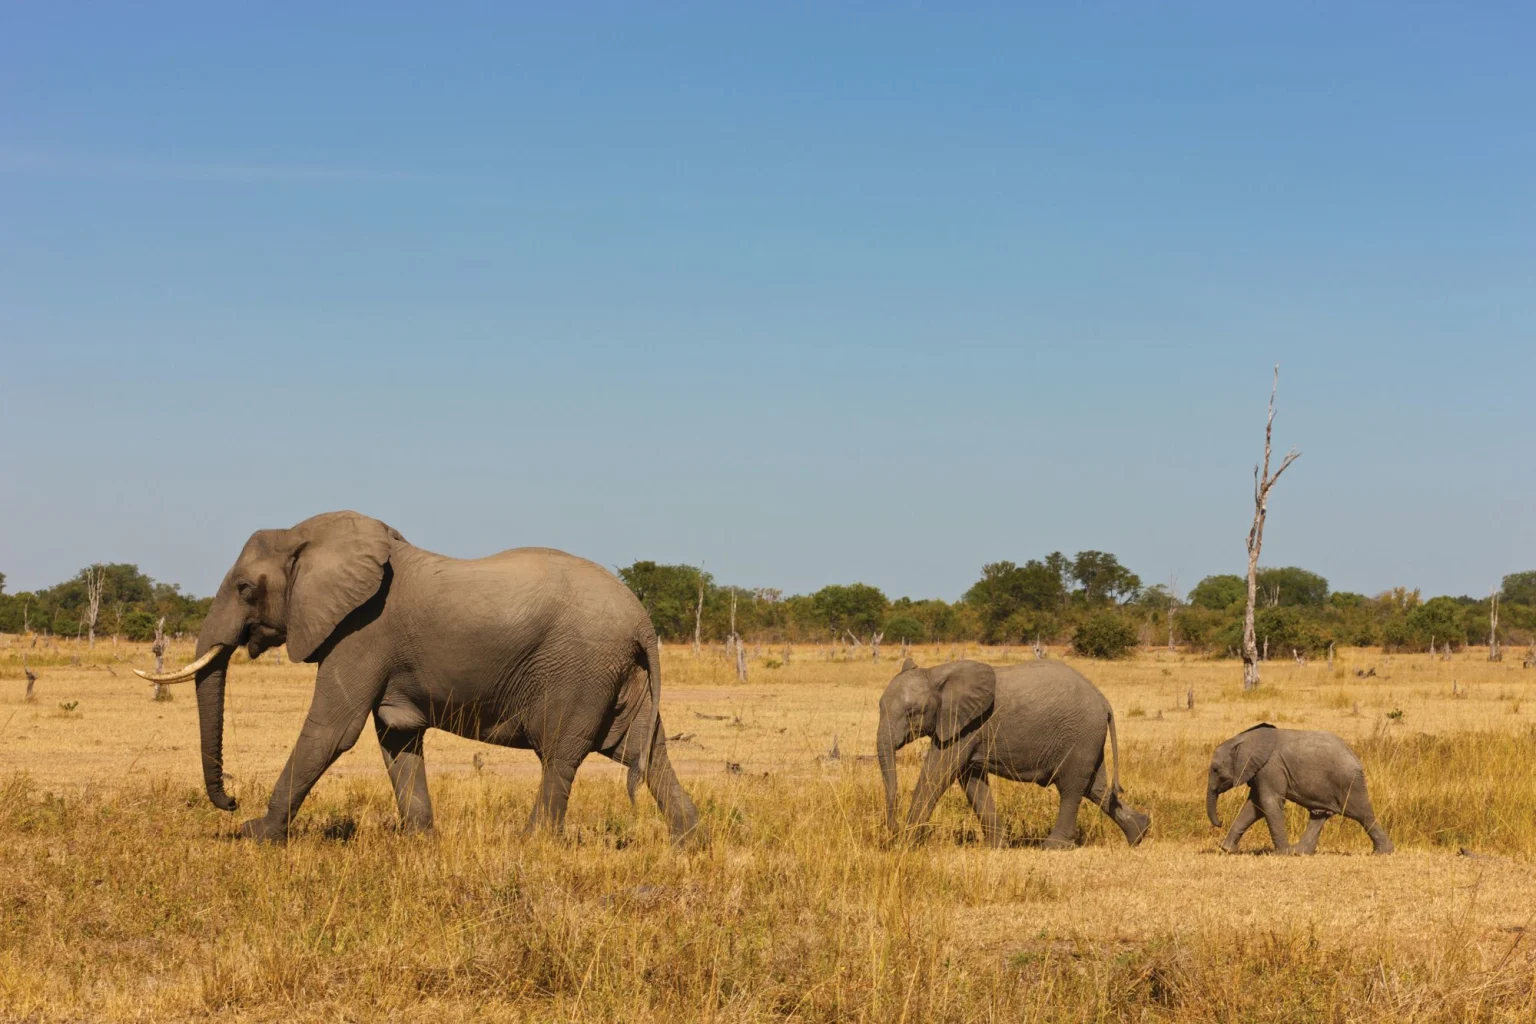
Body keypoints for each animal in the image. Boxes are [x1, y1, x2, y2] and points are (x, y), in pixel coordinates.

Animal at [139, 510, 702, 844]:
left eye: (243, 588)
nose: (231, 801)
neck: (309, 536)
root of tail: (642, 620)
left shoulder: (362, 631)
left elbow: (331, 731)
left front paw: (257, 835)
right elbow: (397, 736)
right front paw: (419, 841)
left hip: (580, 668)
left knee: (562, 755)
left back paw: (530, 844)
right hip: (618, 674)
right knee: (641, 751)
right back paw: (689, 839)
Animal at [876, 658, 1151, 849]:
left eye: (912, 713)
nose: (893, 830)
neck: (935, 673)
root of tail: (1105, 703)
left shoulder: (967, 725)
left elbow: (938, 771)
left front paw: (907, 843)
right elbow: (971, 780)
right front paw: (997, 847)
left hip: (1081, 734)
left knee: (1072, 788)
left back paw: (1053, 847)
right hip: (1088, 738)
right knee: (1096, 787)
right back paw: (1139, 834)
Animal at [1206, 724, 1392, 855]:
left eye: (1215, 770)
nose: (1220, 823)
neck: (1245, 739)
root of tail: (1355, 756)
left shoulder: (1271, 767)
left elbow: (1269, 802)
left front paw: (1281, 853)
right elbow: (1255, 807)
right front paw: (1226, 849)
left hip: (1348, 782)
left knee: (1362, 815)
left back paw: (1382, 852)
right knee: (1320, 815)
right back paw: (1300, 852)